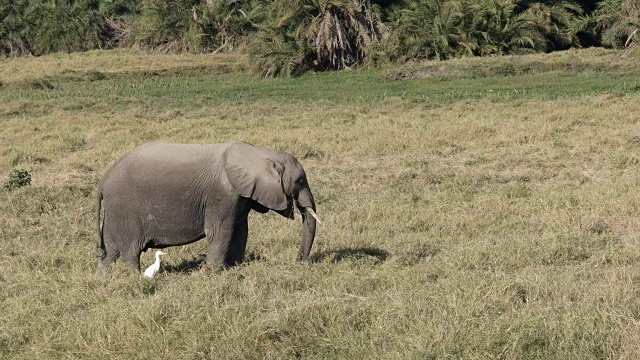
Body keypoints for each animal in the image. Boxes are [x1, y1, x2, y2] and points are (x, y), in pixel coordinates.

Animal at [94, 141, 318, 276]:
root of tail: (103, 182)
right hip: (125, 209)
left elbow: (241, 231)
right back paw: (135, 277)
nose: (299, 260)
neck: (258, 153)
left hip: (115, 212)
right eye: (299, 182)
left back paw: (103, 280)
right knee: (130, 251)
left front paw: (234, 267)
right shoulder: (223, 194)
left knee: (110, 251)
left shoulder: (240, 195)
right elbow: (220, 231)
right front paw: (215, 273)